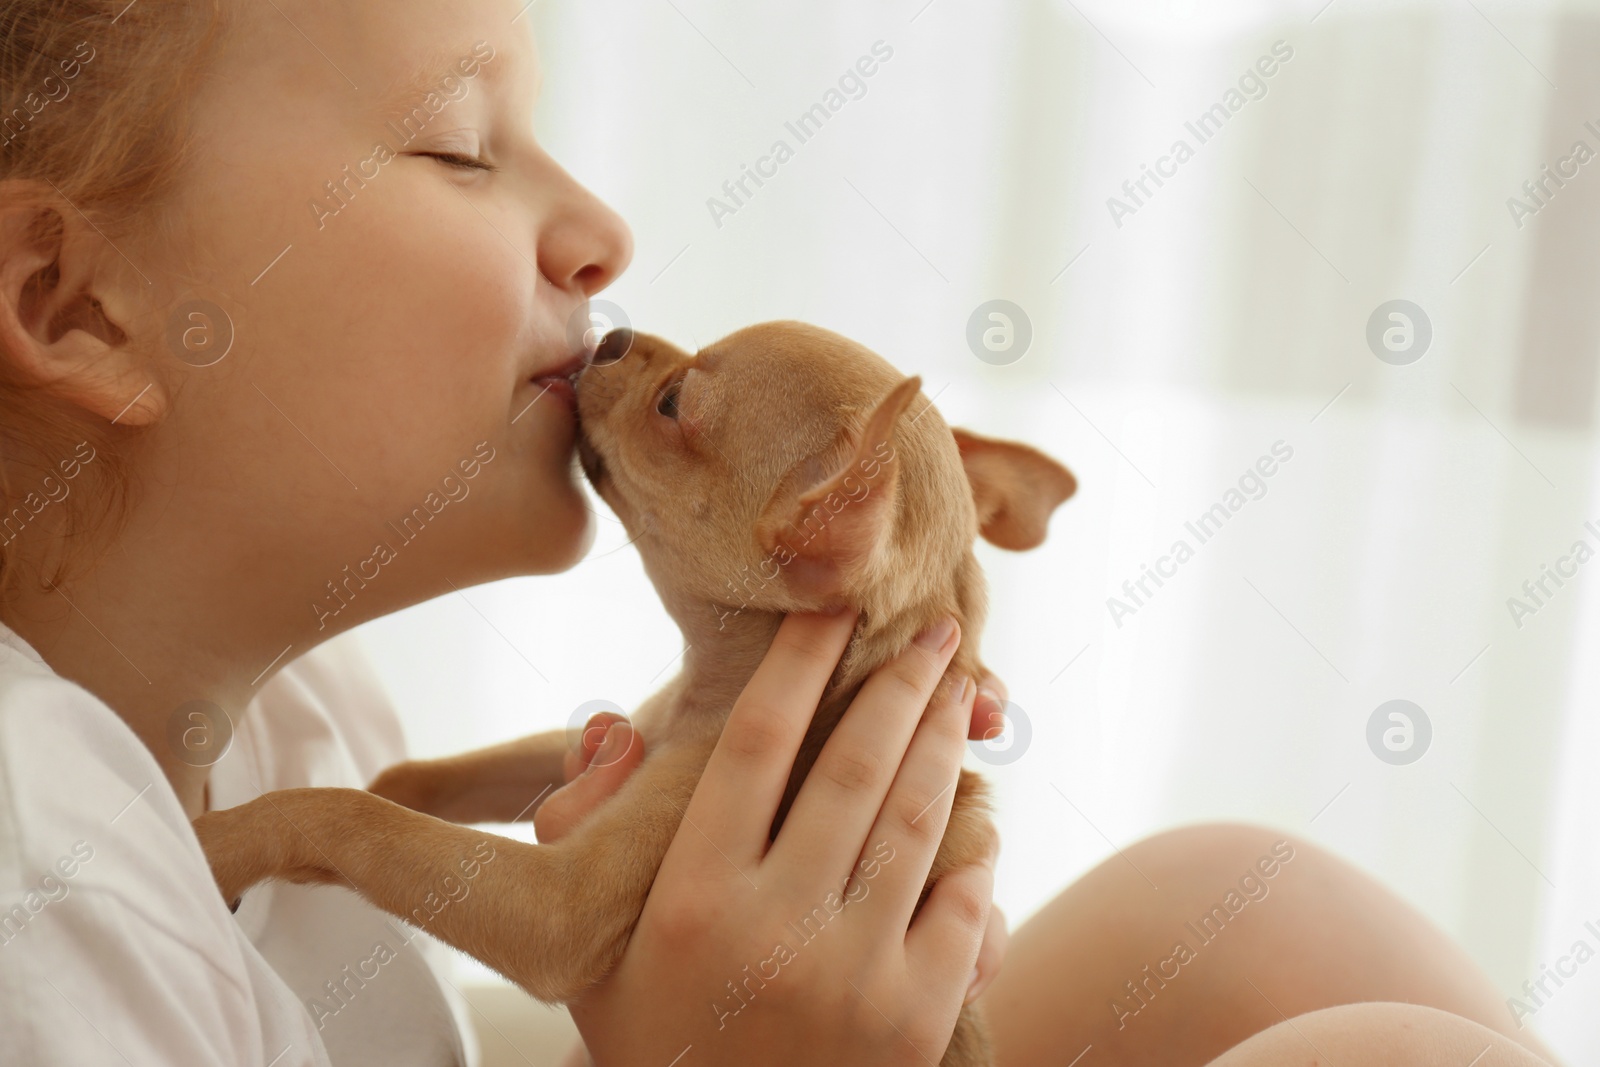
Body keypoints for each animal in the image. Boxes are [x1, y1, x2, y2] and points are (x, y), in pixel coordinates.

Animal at [200, 321, 1075, 1062]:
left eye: (672, 404)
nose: (612, 335)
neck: (710, 692)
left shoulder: (561, 907)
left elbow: (355, 820)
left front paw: (230, 837)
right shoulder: (604, 741)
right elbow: (428, 780)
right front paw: (378, 775)